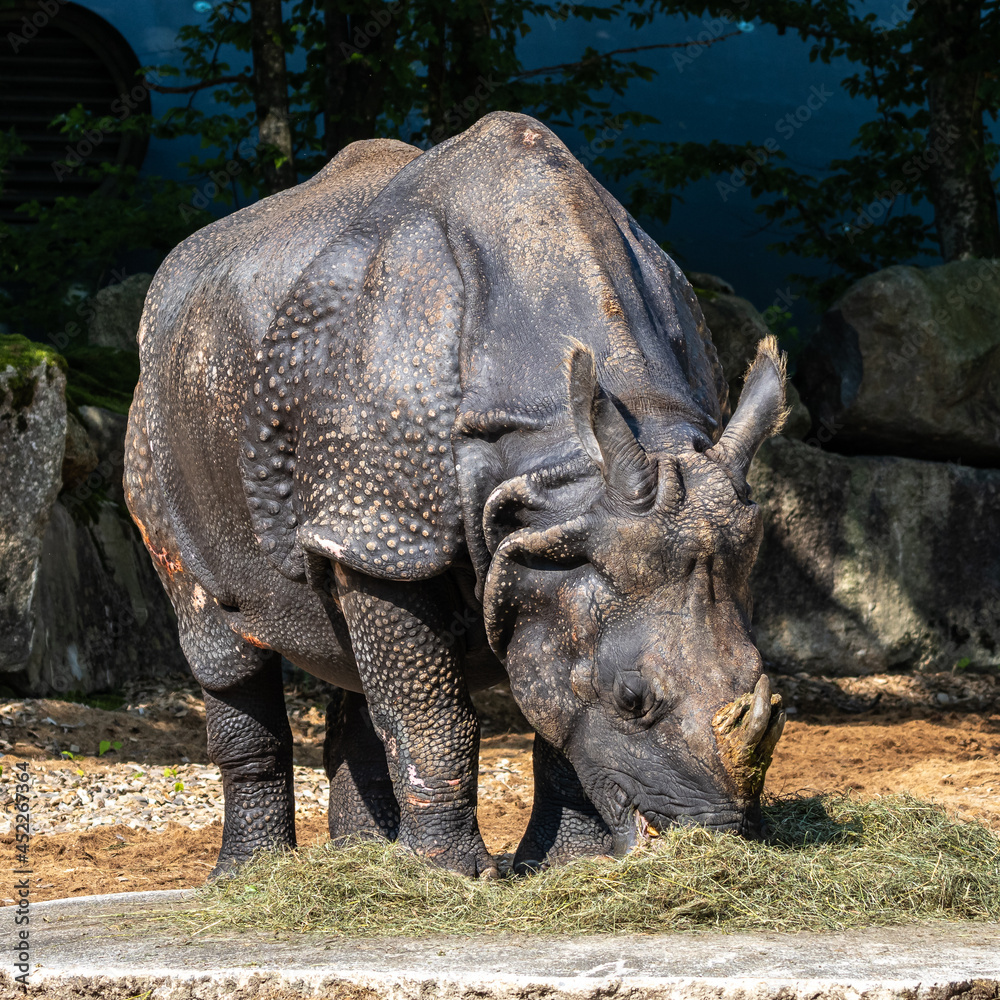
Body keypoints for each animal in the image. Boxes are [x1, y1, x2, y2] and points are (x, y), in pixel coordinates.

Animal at [125, 111, 787, 878]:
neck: (565, 468)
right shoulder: (387, 525)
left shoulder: (549, 544)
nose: (717, 834)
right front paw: (453, 877)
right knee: (223, 640)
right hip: (159, 418)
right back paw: (253, 876)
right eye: (633, 700)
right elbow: (432, 715)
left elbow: (550, 704)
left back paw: (366, 861)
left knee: (343, 636)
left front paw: (561, 868)